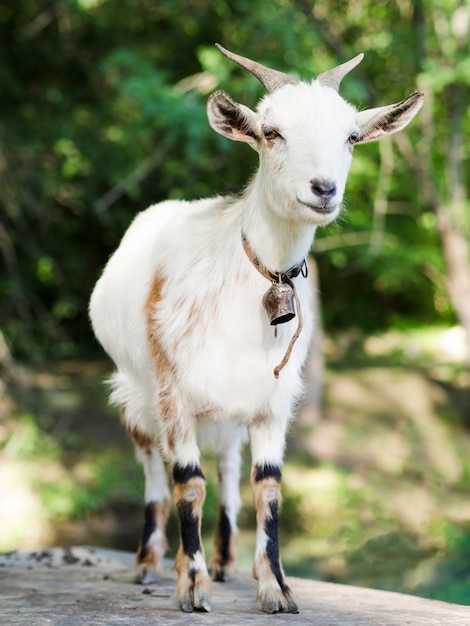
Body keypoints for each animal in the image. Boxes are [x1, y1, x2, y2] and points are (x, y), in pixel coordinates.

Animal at [90, 46, 424, 612]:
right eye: (272, 132)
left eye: (351, 137)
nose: (324, 189)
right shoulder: (174, 391)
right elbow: (188, 483)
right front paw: (192, 585)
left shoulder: (272, 399)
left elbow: (267, 487)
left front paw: (274, 587)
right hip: (133, 392)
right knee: (154, 466)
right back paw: (149, 562)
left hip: (225, 408)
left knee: (226, 465)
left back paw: (224, 561)